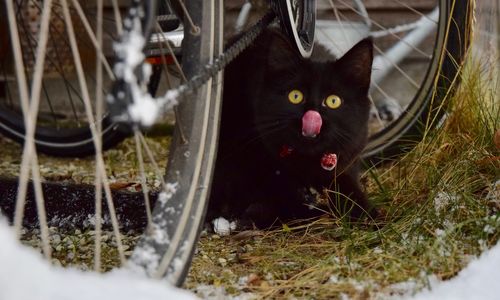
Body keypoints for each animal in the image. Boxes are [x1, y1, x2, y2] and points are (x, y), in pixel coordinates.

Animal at [207, 29, 376, 227]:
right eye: (295, 96)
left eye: (333, 101)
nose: (311, 115)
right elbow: (283, 202)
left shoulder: (345, 164)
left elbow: (353, 196)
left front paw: (370, 218)